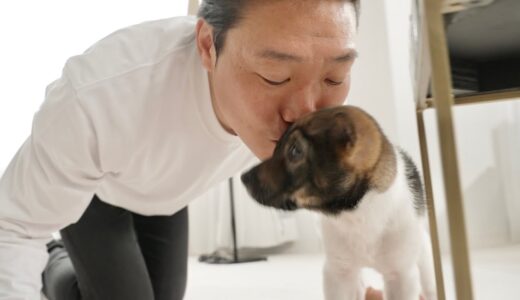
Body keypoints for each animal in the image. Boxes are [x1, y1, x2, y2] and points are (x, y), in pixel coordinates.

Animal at [242, 105, 436, 300]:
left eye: (295, 151)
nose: (244, 178)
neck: (355, 214)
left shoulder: (401, 276)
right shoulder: (338, 273)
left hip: (424, 258)